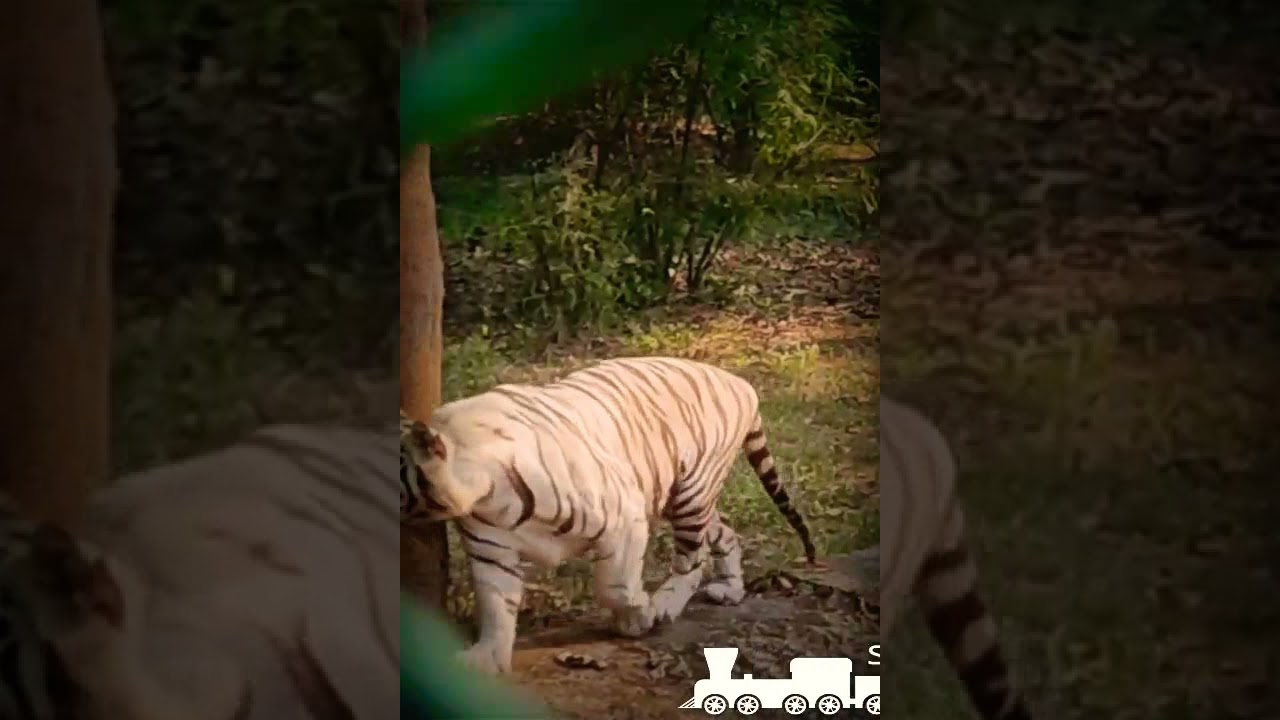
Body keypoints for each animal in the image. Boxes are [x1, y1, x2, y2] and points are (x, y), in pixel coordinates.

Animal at [399, 356, 818, 675]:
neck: (485, 494)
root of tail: (739, 381)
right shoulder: (491, 550)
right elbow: (494, 604)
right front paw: (485, 659)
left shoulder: (623, 516)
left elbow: (614, 586)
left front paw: (639, 616)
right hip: (687, 498)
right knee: (725, 533)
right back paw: (730, 590)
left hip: (691, 490)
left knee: (692, 557)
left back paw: (666, 604)